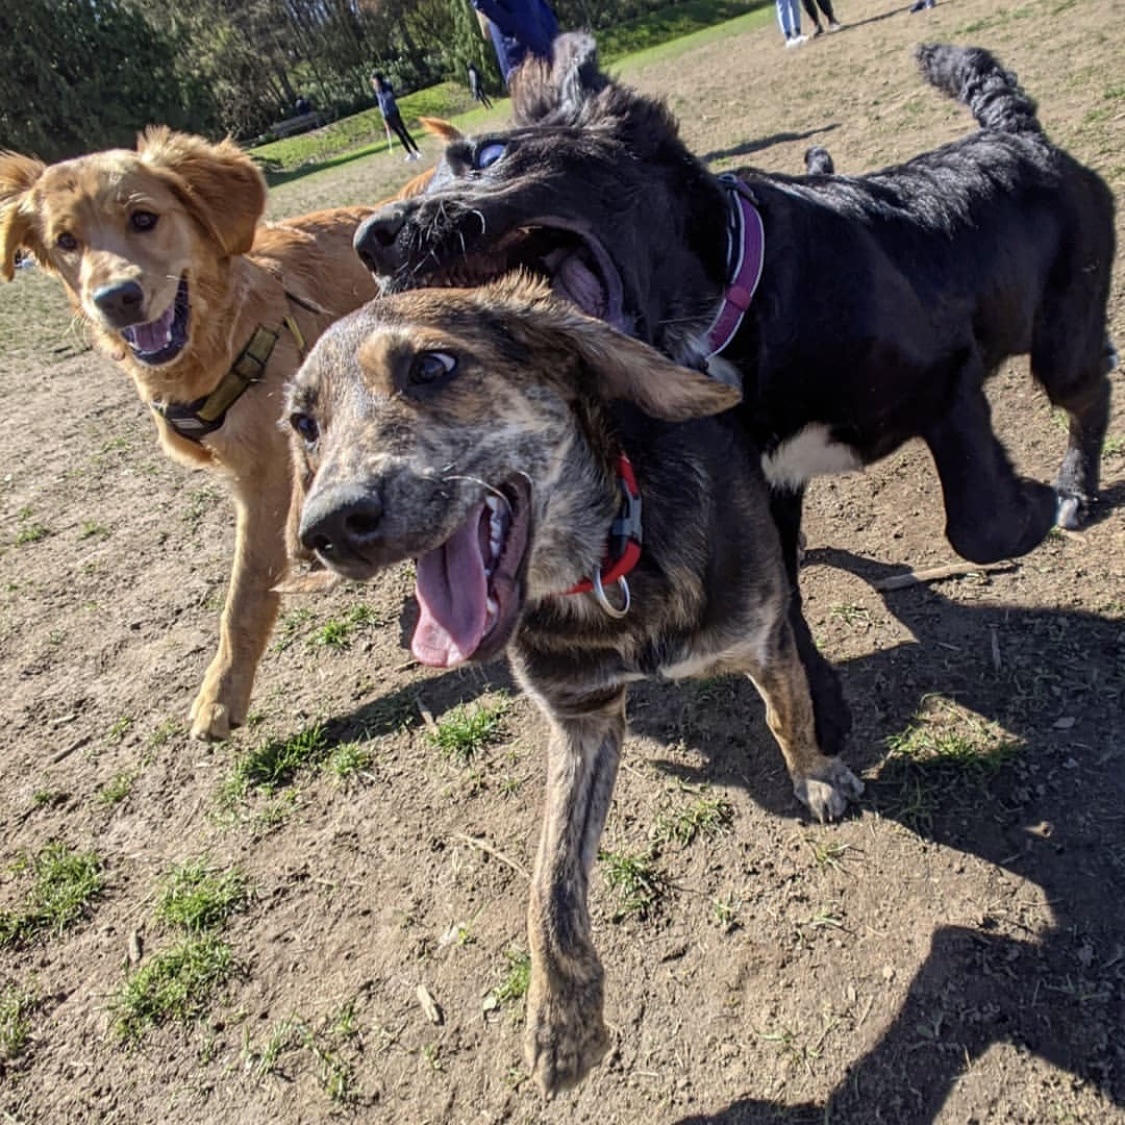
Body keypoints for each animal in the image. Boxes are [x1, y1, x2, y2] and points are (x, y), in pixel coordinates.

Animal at [0, 128, 432, 740]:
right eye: (66, 241)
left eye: (143, 218)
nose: (115, 298)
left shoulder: (265, 474)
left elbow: (243, 594)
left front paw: (221, 694)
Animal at [286, 275, 864, 1094]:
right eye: (304, 423)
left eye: (431, 366)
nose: (328, 528)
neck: (604, 568)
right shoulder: (582, 719)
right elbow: (548, 880)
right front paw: (561, 1020)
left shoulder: (760, 639)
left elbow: (787, 712)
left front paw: (814, 773)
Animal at [353, 39, 1117, 595]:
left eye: (487, 154)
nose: (368, 239)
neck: (737, 311)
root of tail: (1015, 132)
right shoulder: (767, 490)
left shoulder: (948, 374)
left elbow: (980, 529)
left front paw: (1032, 505)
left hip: (1061, 340)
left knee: (1092, 393)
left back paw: (1076, 489)